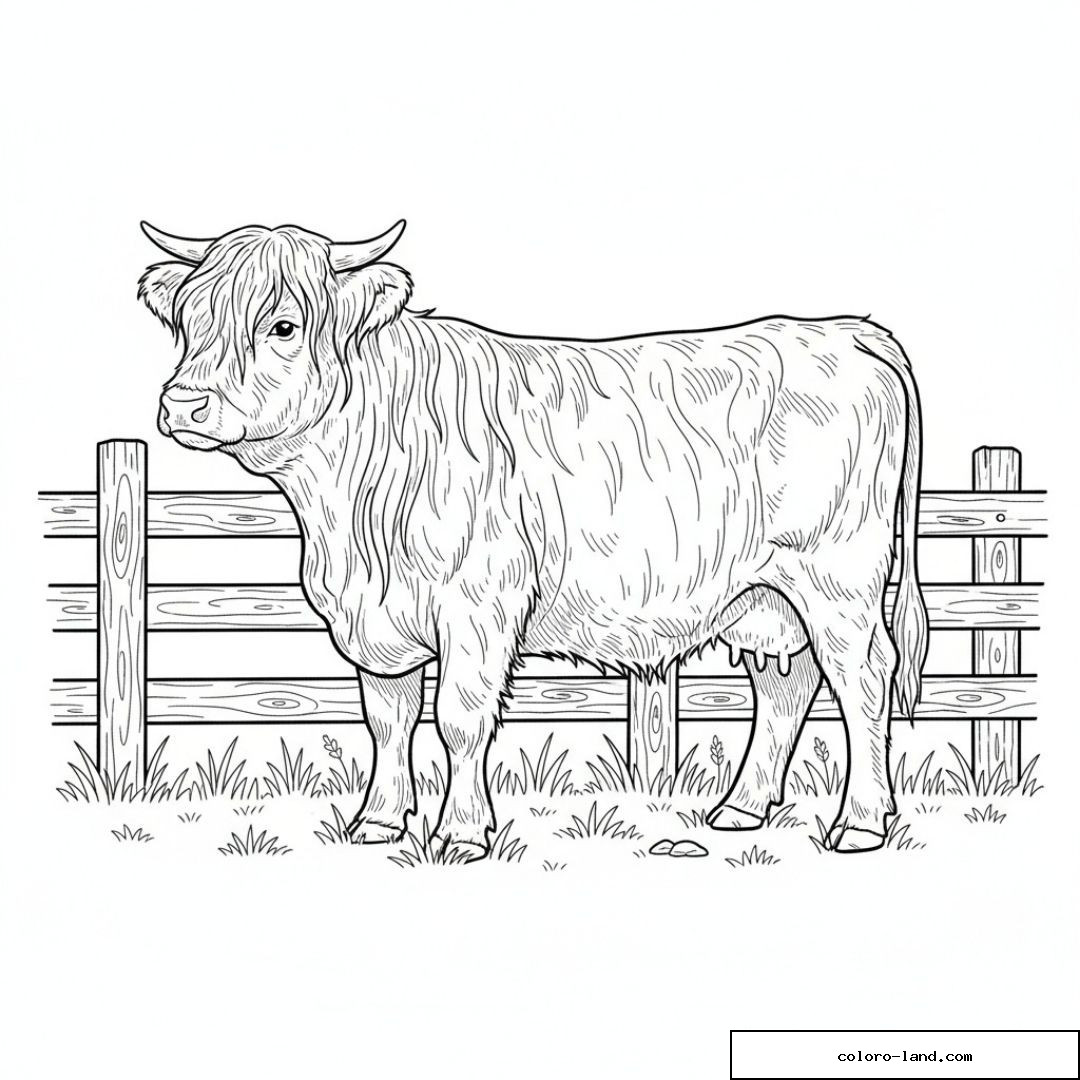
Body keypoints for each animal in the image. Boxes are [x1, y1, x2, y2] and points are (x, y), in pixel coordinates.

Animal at [139, 219, 928, 859]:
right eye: (186, 319)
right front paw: (378, 822)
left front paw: (461, 833)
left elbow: (458, 718)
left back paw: (860, 823)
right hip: (765, 594)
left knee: (862, 677)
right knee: (786, 684)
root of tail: (845, 330)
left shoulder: (478, 604)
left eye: (282, 325)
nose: (182, 403)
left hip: (837, 579)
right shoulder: (376, 618)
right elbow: (387, 720)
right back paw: (740, 808)